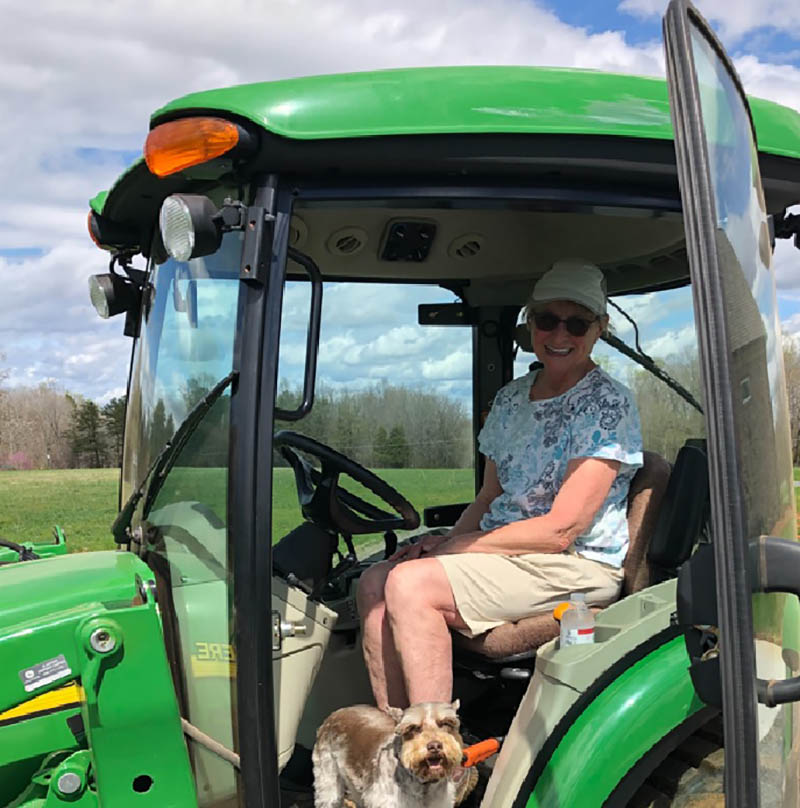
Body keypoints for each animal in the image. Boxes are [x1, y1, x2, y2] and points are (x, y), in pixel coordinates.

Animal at [312, 696, 476, 804]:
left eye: (446, 723)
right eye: (413, 728)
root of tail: (335, 713)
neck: (423, 785)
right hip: (328, 784)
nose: (434, 746)